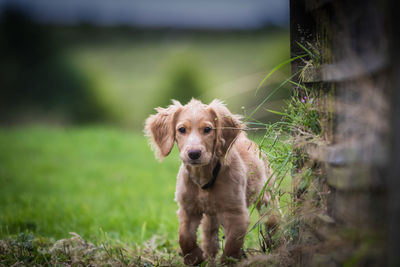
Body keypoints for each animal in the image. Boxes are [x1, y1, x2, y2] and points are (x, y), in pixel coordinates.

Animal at [145, 99, 276, 266]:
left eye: (207, 129)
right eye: (181, 129)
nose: (194, 154)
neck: (204, 178)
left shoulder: (237, 214)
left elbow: (231, 247)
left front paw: (228, 262)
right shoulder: (187, 209)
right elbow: (184, 237)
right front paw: (194, 258)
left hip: (267, 199)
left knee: (273, 221)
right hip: (210, 219)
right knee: (210, 241)